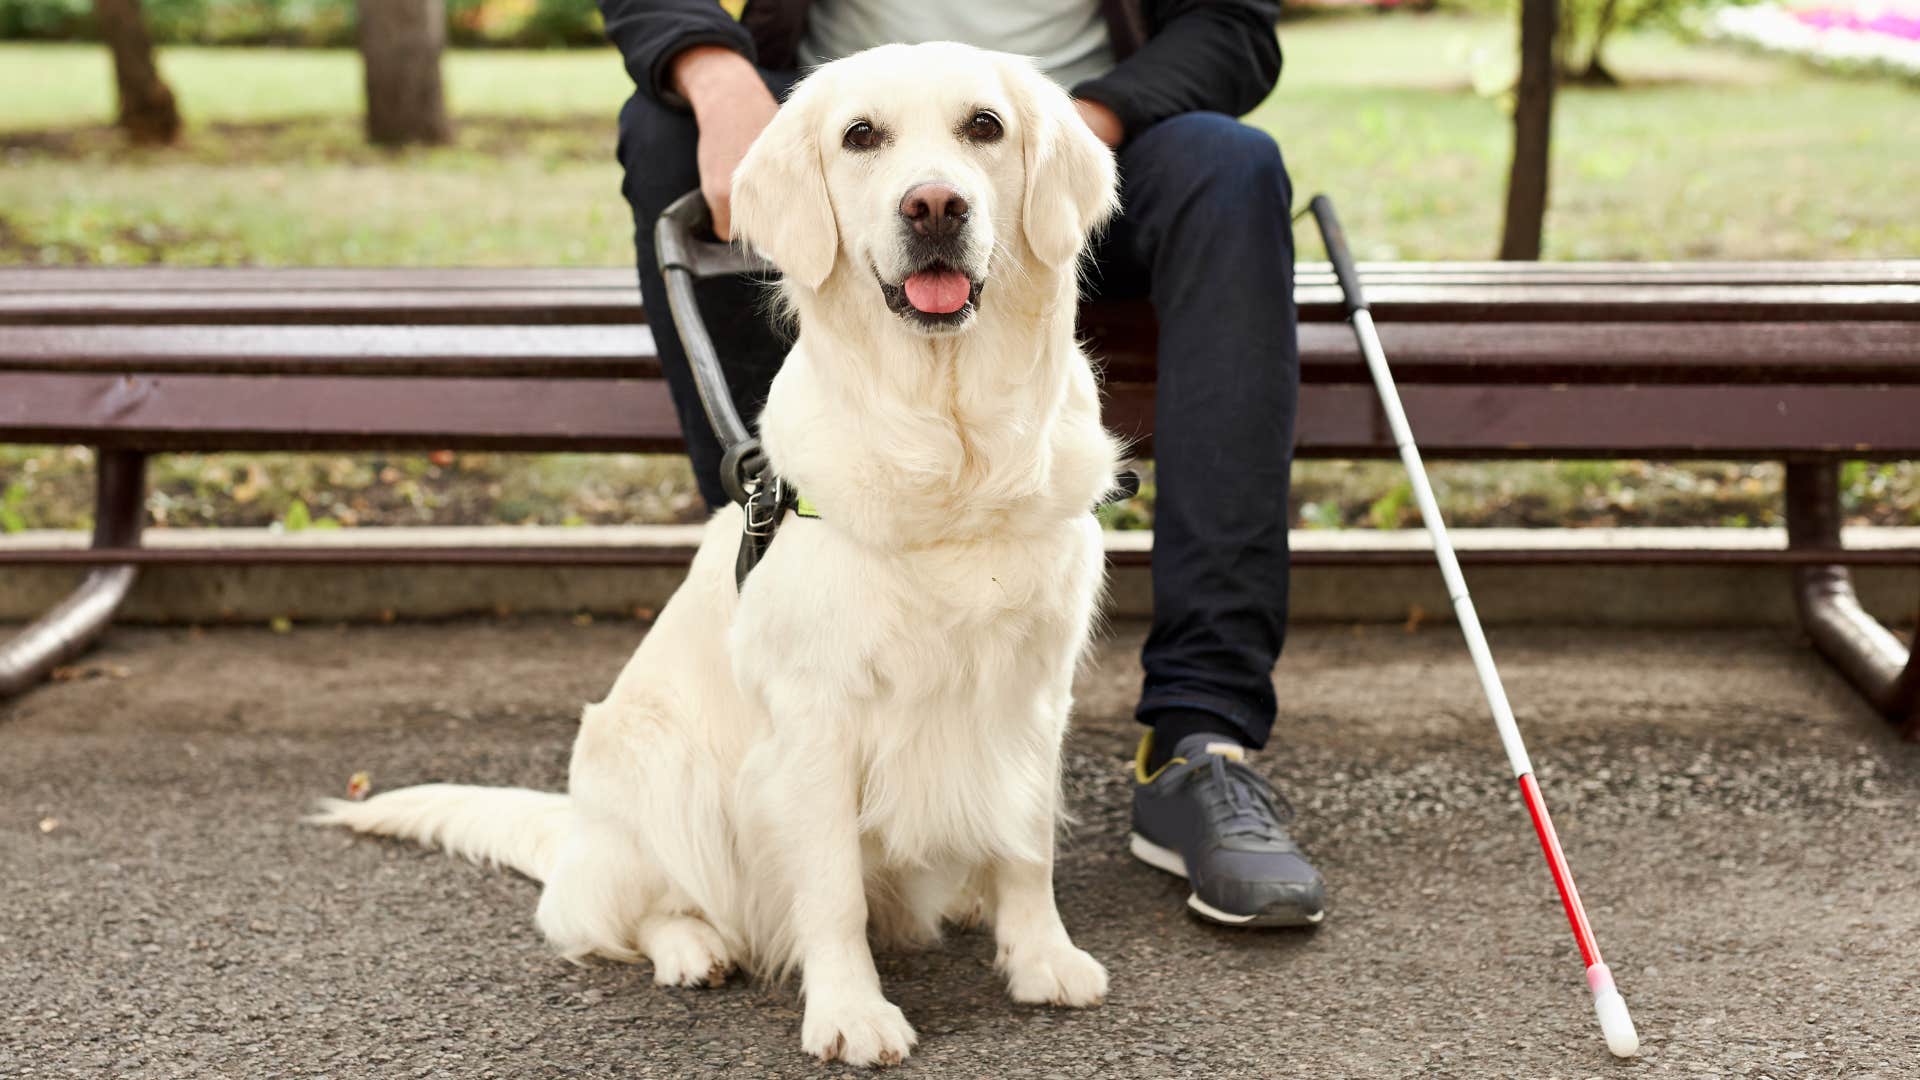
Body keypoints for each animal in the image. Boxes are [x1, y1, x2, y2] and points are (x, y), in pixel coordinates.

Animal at [312, 42, 1121, 1068]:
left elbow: (1027, 844)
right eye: (861, 136)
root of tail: (575, 832)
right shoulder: (815, 719)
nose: (935, 205)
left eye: (985, 126)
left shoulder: (1033, 691)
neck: (950, 447)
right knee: (614, 913)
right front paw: (851, 1012)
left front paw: (1041, 957)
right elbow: (832, 891)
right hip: (657, 766)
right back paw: (692, 947)